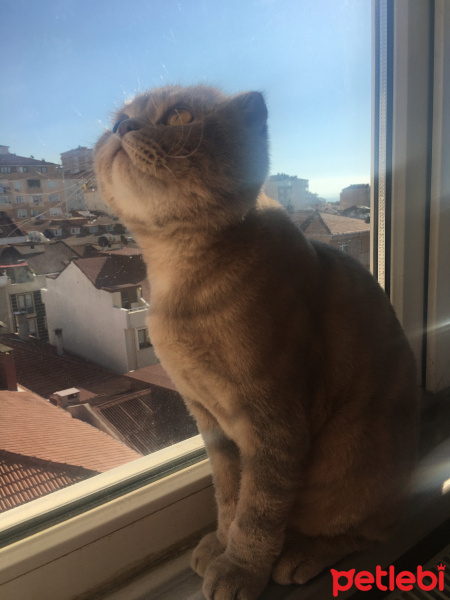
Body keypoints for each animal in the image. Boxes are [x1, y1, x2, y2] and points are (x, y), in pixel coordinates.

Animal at [94, 84, 418, 600]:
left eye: (179, 116)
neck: (180, 287)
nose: (123, 128)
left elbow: (258, 512)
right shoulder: (210, 423)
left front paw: (239, 569)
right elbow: (229, 497)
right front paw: (220, 544)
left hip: (353, 461)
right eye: (114, 122)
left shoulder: (274, 422)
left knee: (369, 530)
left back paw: (303, 555)